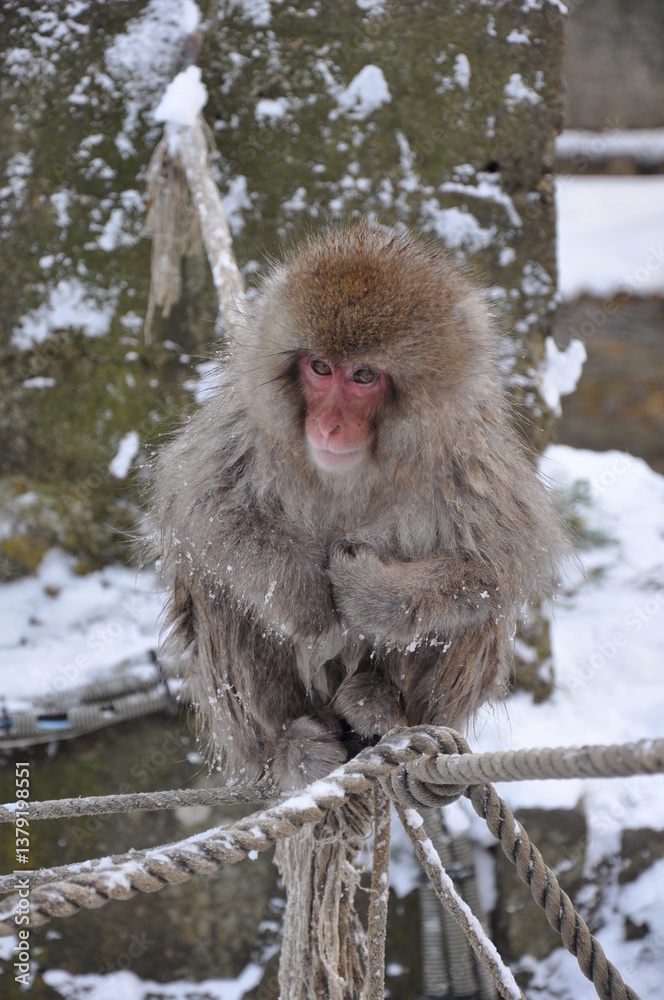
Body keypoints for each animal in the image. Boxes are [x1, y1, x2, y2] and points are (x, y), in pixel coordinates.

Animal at [152, 222, 569, 790]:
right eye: (320, 368)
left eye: (364, 377)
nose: (328, 426)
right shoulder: (245, 424)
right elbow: (197, 505)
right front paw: (305, 591)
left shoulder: (467, 450)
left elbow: (502, 559)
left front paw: (371, 594)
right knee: (214, 581)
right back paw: (290, 742)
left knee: (476, 606)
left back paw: (381, 705)